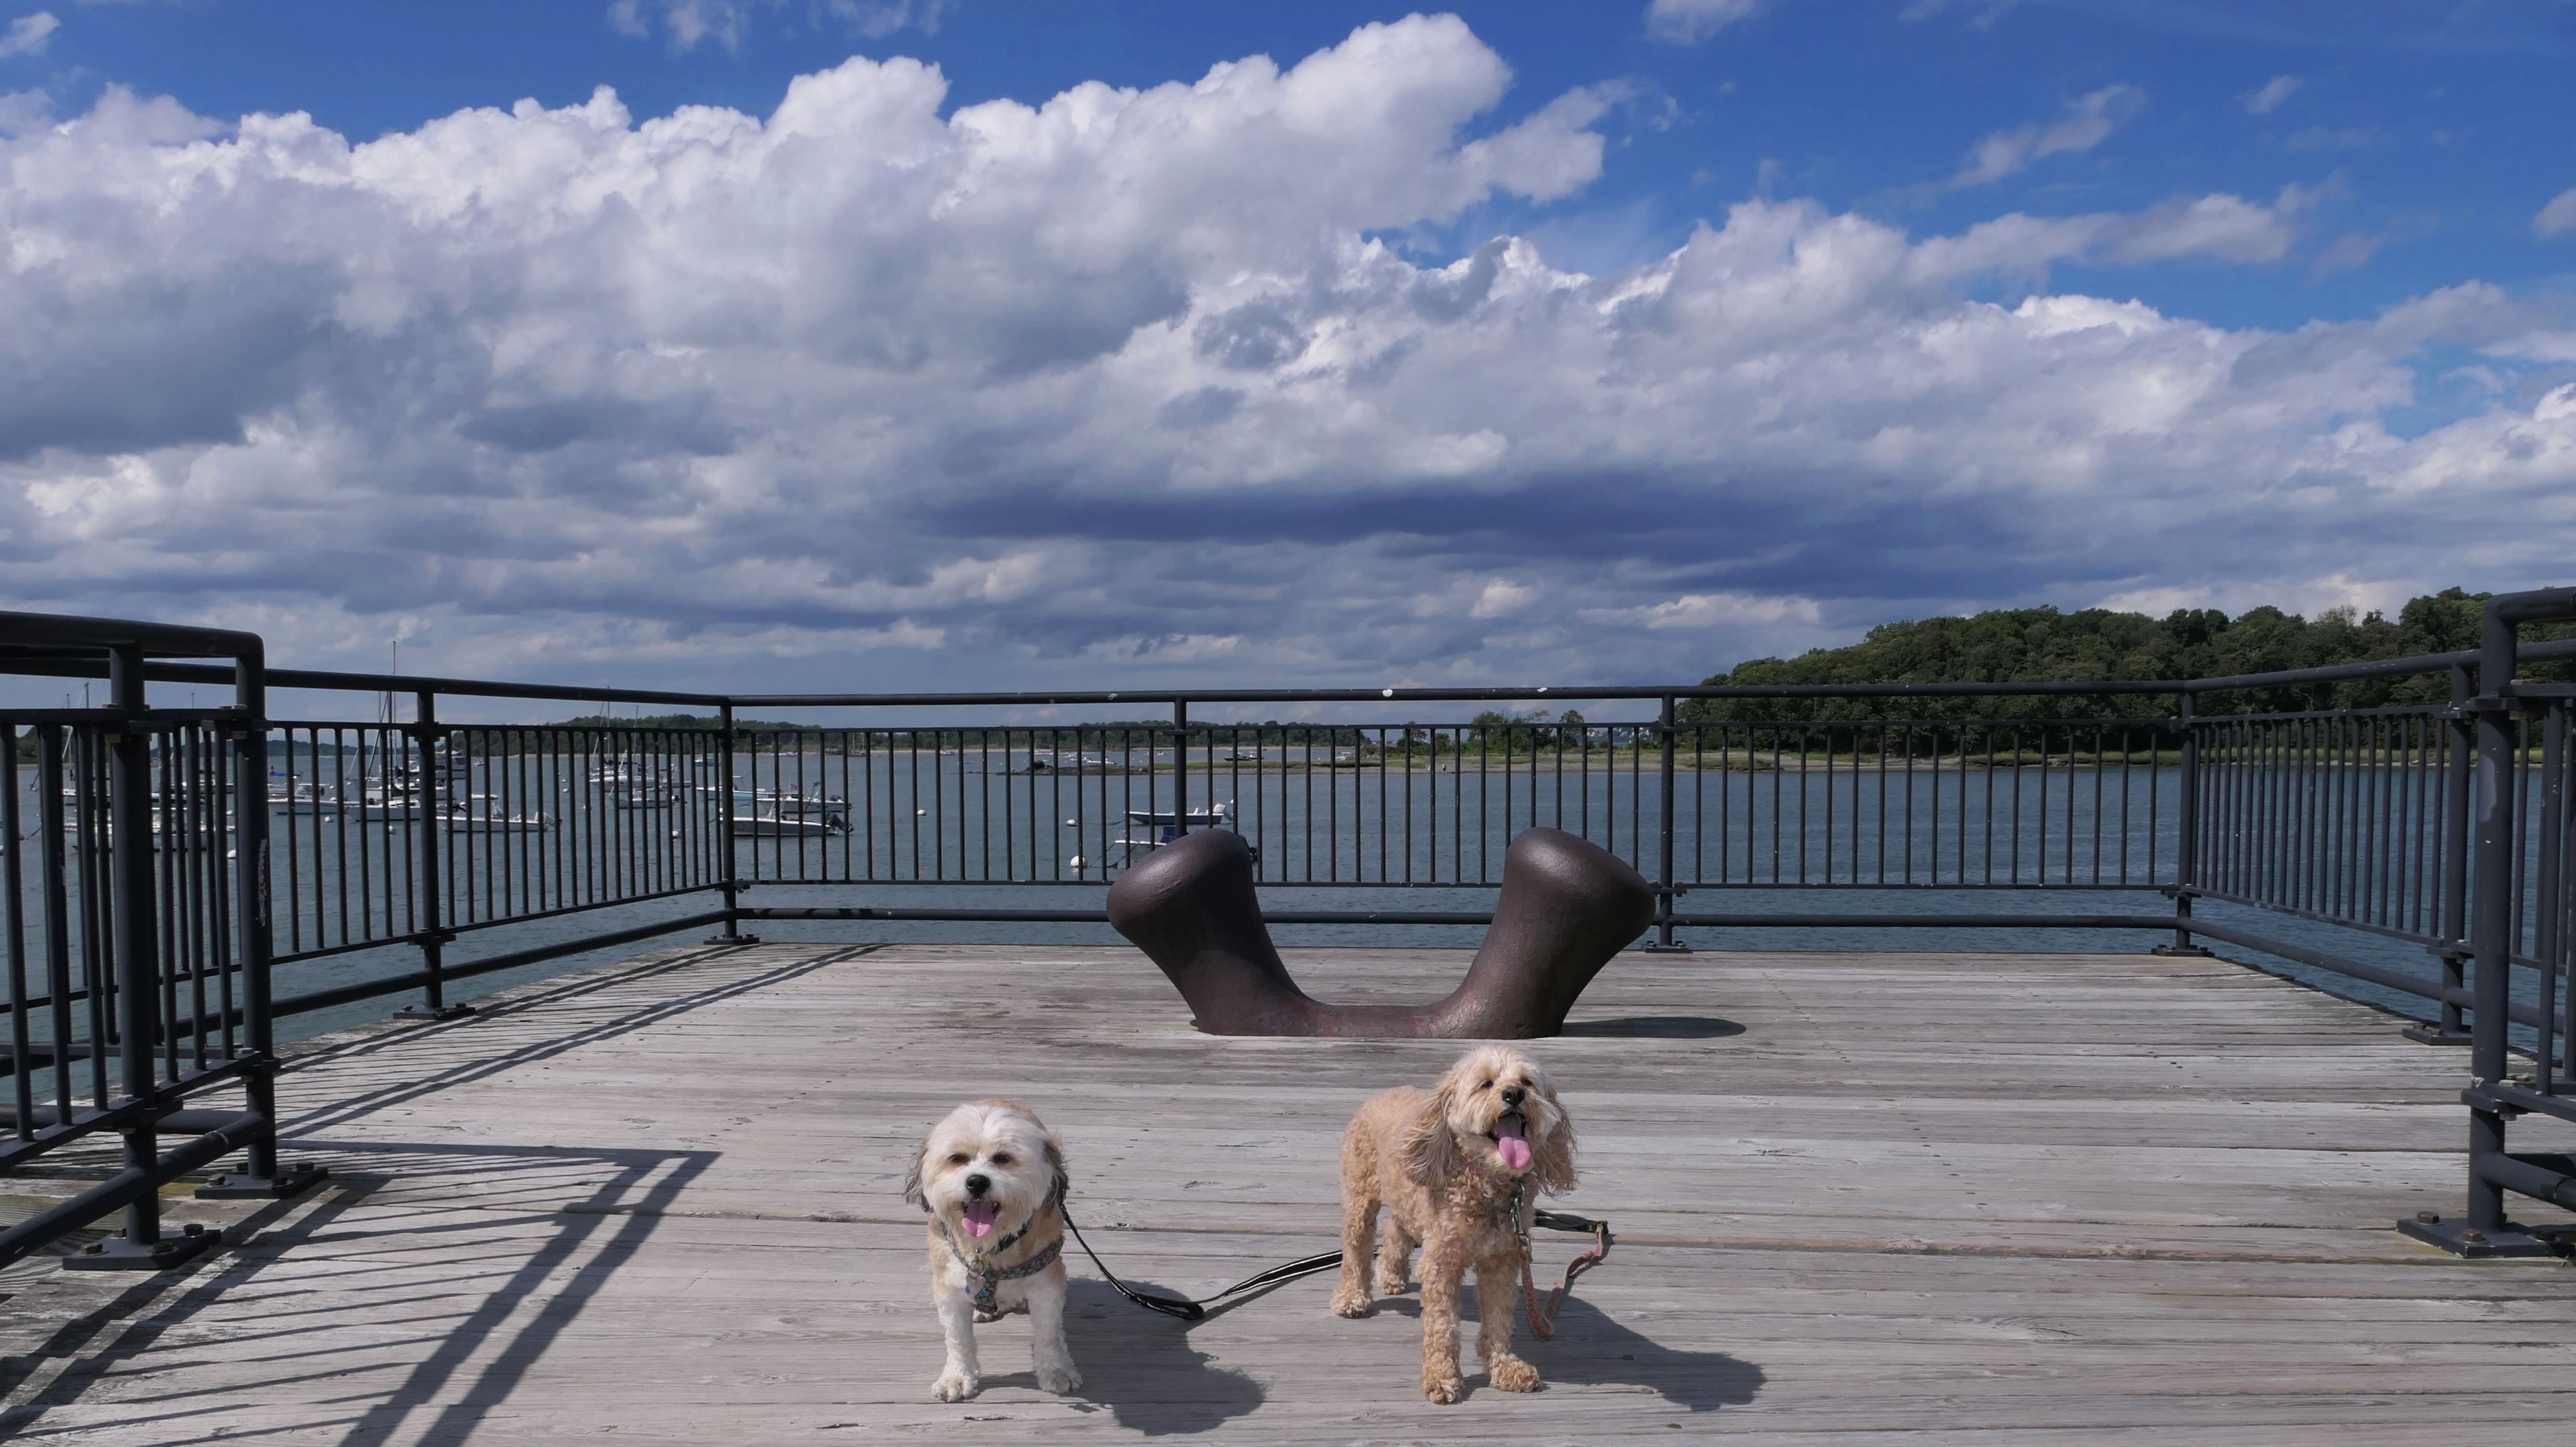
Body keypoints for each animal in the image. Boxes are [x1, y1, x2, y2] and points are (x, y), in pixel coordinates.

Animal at [903, 1099, 1082, 1402]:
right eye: (958, 1158)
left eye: (1002, 1158)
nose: (977, 1181)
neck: (989, 1248)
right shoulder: (948, 1288)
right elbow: (958, 1338)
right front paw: (957, 1377)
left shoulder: (1047, 1283)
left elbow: (1049, 1334)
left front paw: (1057, 1371)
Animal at [1330, 1045, 1577, 1403]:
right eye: (1486, 1084)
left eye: (1527, 1082)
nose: (1514, 1094)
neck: (1486, 1183)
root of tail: (1385, 1092)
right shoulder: (1441, 1263)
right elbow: (1442, 1327)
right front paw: (1441, 1378)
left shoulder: (1502, 1261)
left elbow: (1499, 1320)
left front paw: (1504, 1368)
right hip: (1360, 1197)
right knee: (1355, 1250)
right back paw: (1352, 1298)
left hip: (1405, 1199)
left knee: (1396, 1227)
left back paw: (1392, 1275)